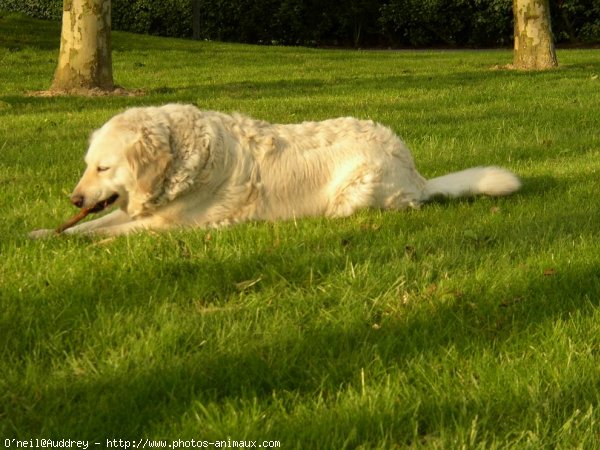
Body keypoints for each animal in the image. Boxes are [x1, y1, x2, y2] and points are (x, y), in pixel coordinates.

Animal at [30, 103, 524, 237]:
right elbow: (87, 225)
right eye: (88, 166)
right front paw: (41, 234)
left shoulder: (168, 226)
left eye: (104, 167)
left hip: (356, 193)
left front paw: (78, 238)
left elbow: (105, 233)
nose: (75, 198)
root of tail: (414, 170)